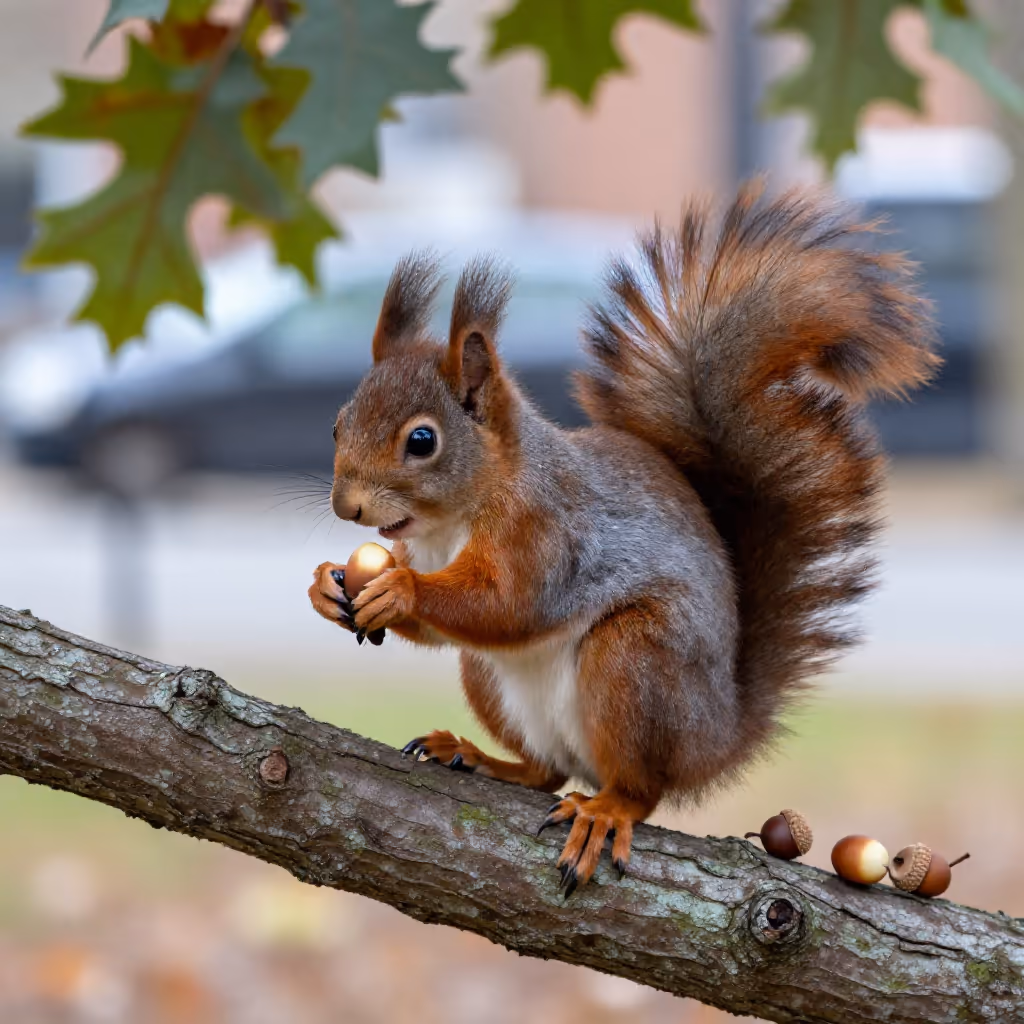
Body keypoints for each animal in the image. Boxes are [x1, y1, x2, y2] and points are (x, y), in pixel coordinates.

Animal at [308, 183, 939, 895]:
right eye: (338, 424)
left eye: (422, 440)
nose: (347, 506)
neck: (455, 519)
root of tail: (718, 735)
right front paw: (327, 586)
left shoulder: (547, 530)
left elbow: (510, 605)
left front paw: (401, 588)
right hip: (492, 680)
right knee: (547, 771)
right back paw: (476, 756)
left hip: (637, 661)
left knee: (641, 786)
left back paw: (606, 810)